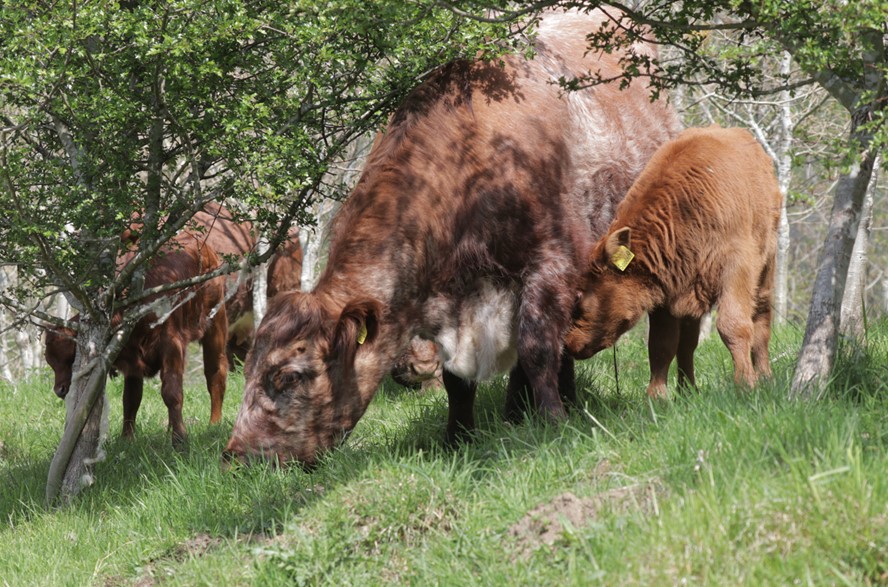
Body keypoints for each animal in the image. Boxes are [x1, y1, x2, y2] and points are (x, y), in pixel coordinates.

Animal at [44, 230, 229, 446]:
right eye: (50, 360)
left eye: (67, 354)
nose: (59, 389)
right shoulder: (131, 357)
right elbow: (131, 399)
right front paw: (127, 438)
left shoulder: (171, 345)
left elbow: (172, 393)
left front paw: (180, 439)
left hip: (216, 323)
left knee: (215, 373)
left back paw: (214, 424)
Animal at [564, 127, 780, 400]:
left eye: (579, 297)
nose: (568, 344)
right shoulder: (666, 289)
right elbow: (662, 343)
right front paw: (657, 397)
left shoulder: (736, 269)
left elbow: (733, 326)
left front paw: (745, 385)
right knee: (687, 342)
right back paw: (687, 390)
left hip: (766, 266)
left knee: (761, 318)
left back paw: (765, 376)